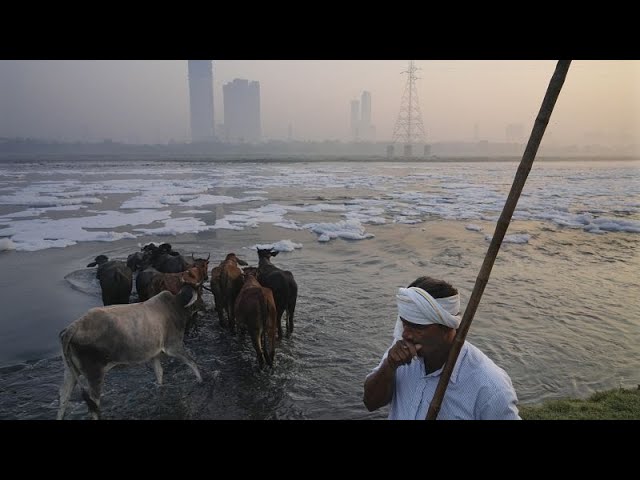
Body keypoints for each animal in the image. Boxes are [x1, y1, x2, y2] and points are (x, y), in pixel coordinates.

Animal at [58, 284, 202, 418]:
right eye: (198, 298)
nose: (202, 308)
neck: (175, 306)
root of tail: (73, 327)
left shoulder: (154, 354)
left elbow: (159, 373)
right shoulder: (173, 346)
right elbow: (193, 363)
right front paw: (201, 381)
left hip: (70, 372)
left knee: (63, 400)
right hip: (95, 374)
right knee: (93, 406)